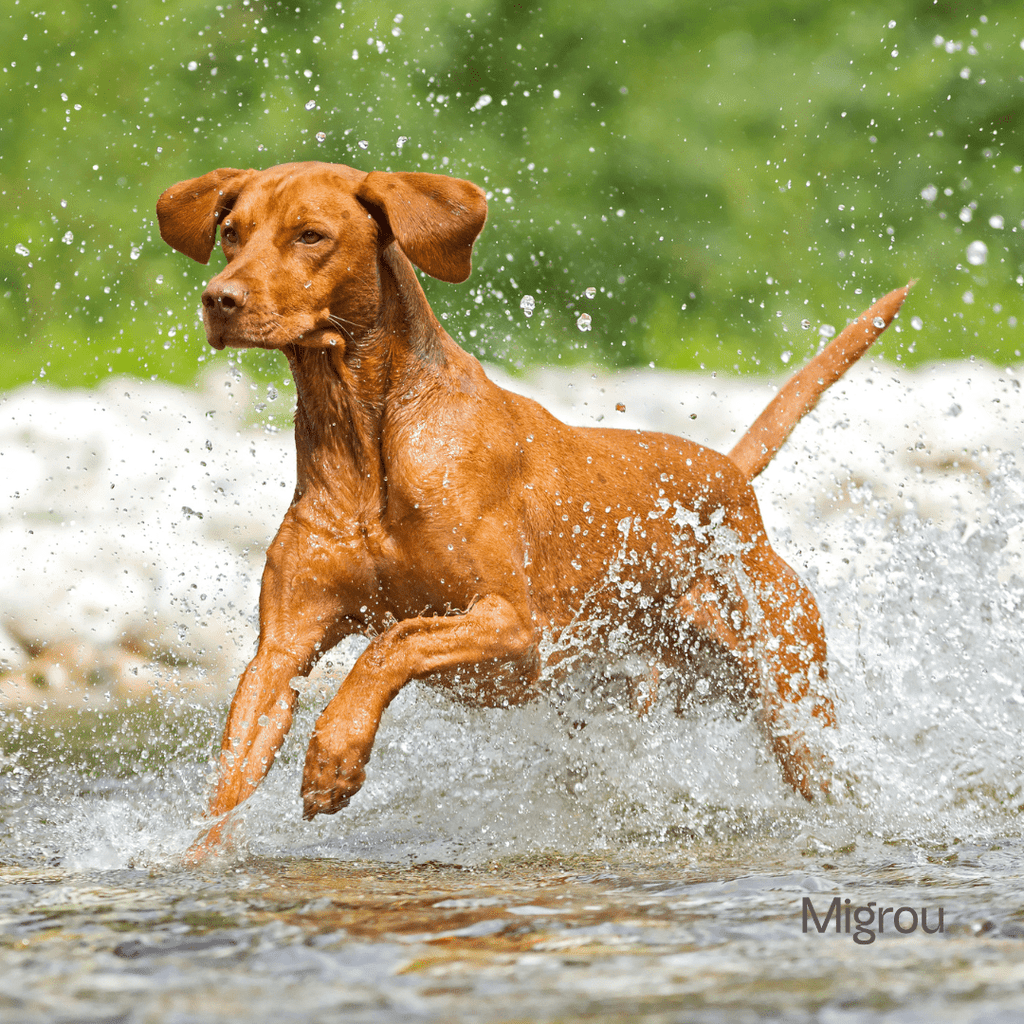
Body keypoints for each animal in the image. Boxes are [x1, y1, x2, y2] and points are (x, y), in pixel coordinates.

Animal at [155, 161, 909, 856]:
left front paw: (335, 754)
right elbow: (232, 776)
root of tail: (730, 474)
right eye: (231, 232)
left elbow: (391, 643)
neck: (364, 438)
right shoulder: (280, 651)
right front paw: (201, 858)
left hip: (793, 706)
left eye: (311, 235)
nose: (218, 300)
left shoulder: (511, 628)